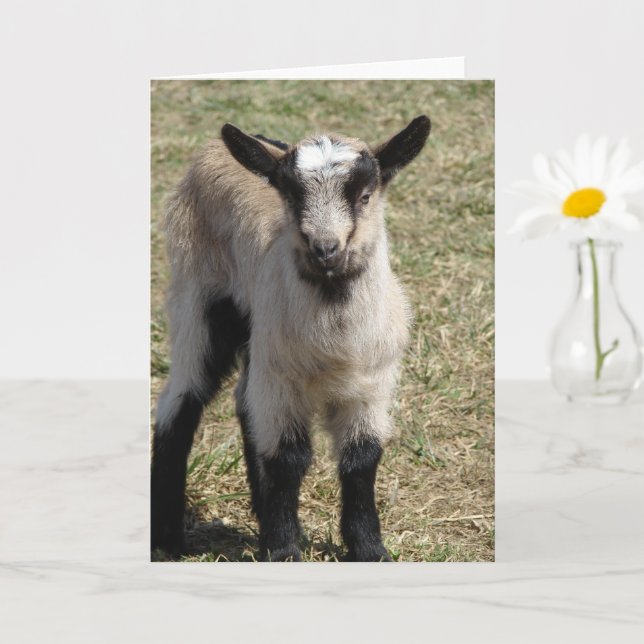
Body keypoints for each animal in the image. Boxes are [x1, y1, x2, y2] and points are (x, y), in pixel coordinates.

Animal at [151, 115, 431, 561]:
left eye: (365, 196)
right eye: (290, 197)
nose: (325, 248)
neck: (335, 341)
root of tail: (213, 149)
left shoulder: (372, 383)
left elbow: (362, 458)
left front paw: (370, 549)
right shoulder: (283, 380)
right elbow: (287, 458)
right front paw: (283, 550)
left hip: (259, 340)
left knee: (244, 403)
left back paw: (258, 509)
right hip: (198, 301)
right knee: (180, 400)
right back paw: (167, 537)